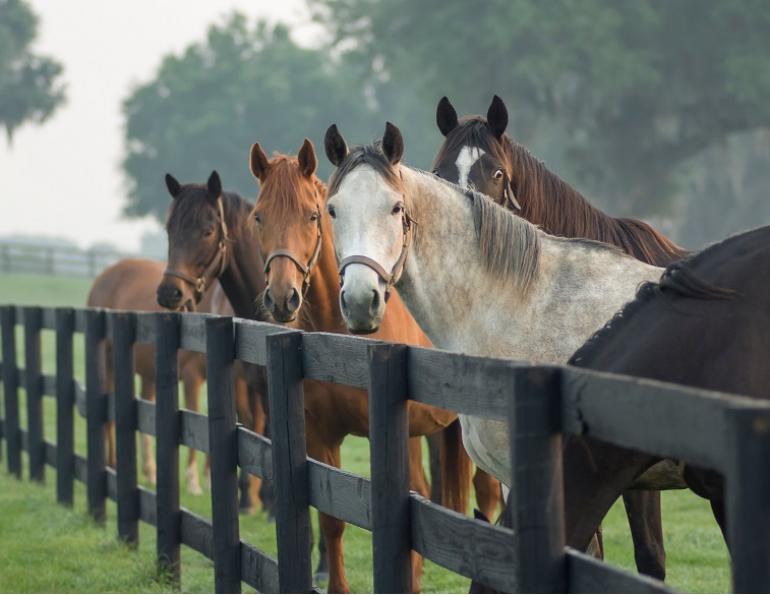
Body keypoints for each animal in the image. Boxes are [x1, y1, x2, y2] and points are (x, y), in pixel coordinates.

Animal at [87, 258, 264, 506]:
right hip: (109, 361)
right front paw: (194, 480)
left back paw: (150, 471)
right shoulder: (192, 377)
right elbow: (197, 417)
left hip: (149, 374)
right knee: (110, 418)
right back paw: (112, 464)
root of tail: (106, 274)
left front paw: (210, 477)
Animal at [248, 139, 500, 592]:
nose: (281, 297)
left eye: (312, 215)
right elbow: (332, 520)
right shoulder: (320, 436)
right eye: (258, 216)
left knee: (482, 495)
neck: (341, 342)